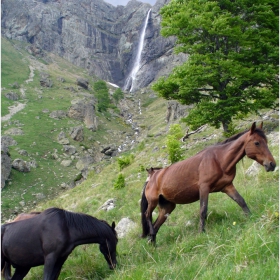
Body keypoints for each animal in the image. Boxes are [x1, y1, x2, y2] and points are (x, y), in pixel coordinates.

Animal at [141, 122, 276, 243]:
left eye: (266, 141)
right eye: (257, 143)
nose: (272, 164)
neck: (218, 160)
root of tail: (151, 176)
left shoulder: (227, 186)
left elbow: (241, 201)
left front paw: (251, 217)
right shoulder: (204, 189)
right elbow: (203, 211)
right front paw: (201, 232)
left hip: (167, 207)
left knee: (156, 224)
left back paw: (152, 244)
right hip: (153, 201)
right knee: (148, 215)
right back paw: (151, 236)